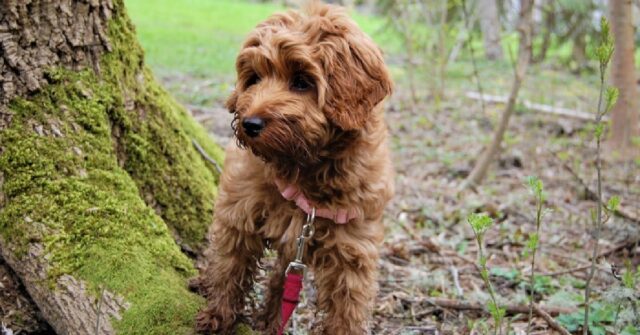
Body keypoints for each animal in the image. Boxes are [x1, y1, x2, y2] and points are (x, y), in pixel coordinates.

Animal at [196, 1, 396, 334]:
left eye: (302, 81)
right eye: (254, 78)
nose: (249, 124)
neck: (304, 168)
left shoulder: (354, 246)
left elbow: (349, 307)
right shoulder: (238, 210)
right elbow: (229, 265)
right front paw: (217, 315)